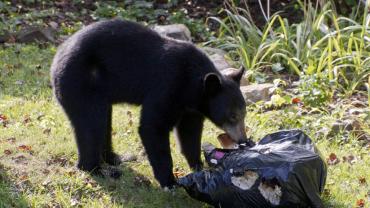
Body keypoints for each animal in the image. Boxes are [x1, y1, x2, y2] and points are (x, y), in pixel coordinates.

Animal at [49, 19, 251, 188]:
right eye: (233, 115)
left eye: (244, 114)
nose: (243, 140)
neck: (193, 84)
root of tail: (56, 59)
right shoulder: (168, 85)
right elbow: (153, 126)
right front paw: (169, 181)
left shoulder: (191, 107)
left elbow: (190, 132)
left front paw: (198, 166)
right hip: (81, 83)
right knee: (91, 125)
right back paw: (97, 169)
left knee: (103, 121)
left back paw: (113, 158)